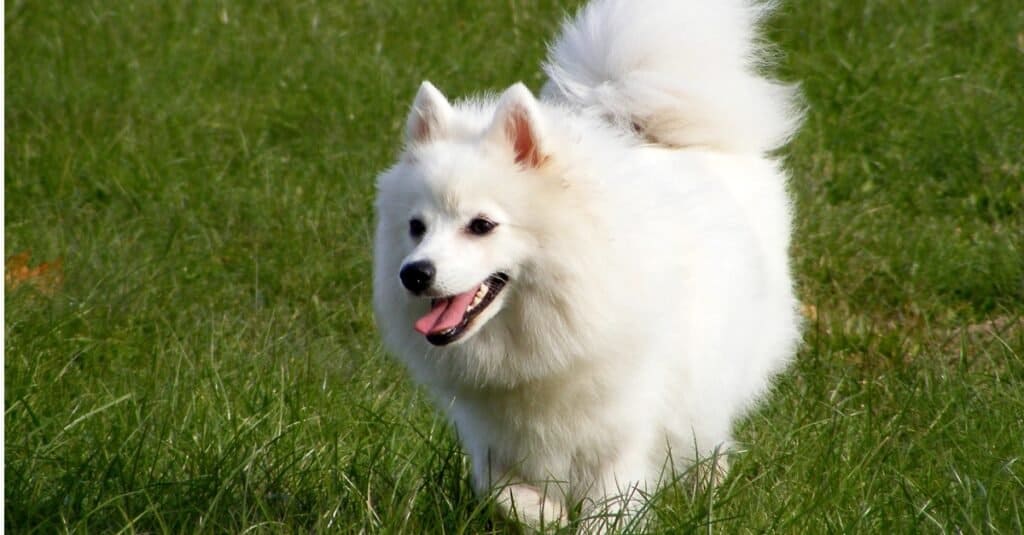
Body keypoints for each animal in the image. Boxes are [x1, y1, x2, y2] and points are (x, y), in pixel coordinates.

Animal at [372, 0, 802, 524]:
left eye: (481, 225)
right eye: (416, 227)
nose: (414, 274)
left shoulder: (623, 441)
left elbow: (606, 514)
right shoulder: (491, 440)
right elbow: (502, 493)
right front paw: (549, 515)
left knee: (711, 437)